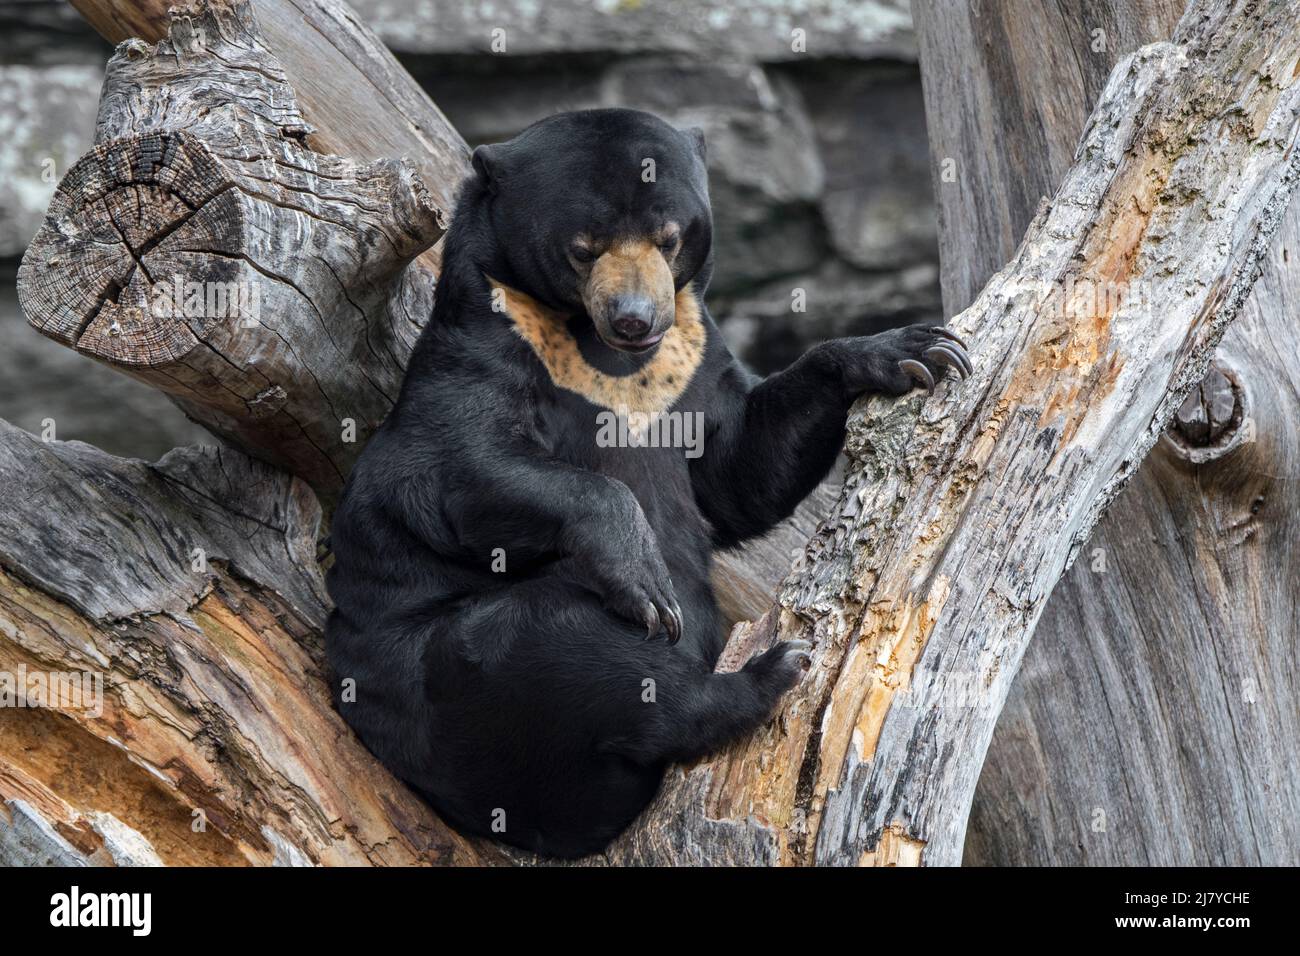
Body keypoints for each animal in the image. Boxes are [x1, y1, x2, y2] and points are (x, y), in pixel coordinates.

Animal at [327, 108, 967, 858]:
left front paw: (913, 351)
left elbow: (737, 472)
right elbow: (453, 468)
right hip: (436, 684)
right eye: (583, 247)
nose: (635, 319)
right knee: (552, 650)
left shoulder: (692, 357)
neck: (600, 352)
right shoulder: (486, 343)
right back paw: (768, 672)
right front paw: (645, 577)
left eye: (669, 235)